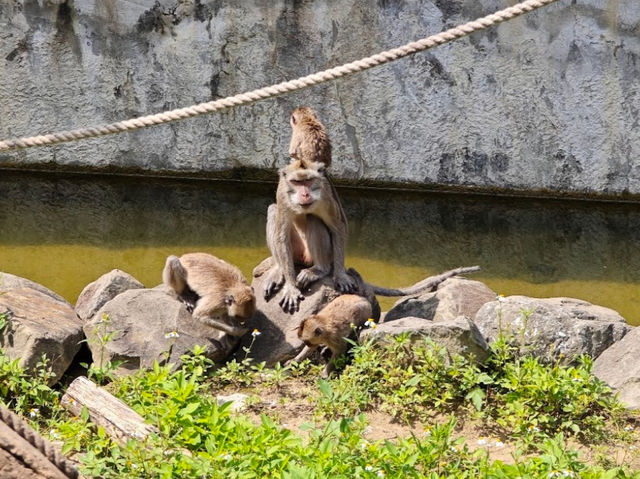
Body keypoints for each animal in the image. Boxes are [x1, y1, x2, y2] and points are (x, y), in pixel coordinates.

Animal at [262, 159, 358, 314]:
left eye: (308, 180)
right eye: (296, 182)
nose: (305, 194)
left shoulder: (326, 194)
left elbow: (339, 227)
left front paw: (340, 275)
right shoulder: (282, 193)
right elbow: (281, 235)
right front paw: (291, 287)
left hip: (321, 254)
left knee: (313, 218)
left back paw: (319, 269)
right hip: (295, 252)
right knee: (273, 210)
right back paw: (279, 269)